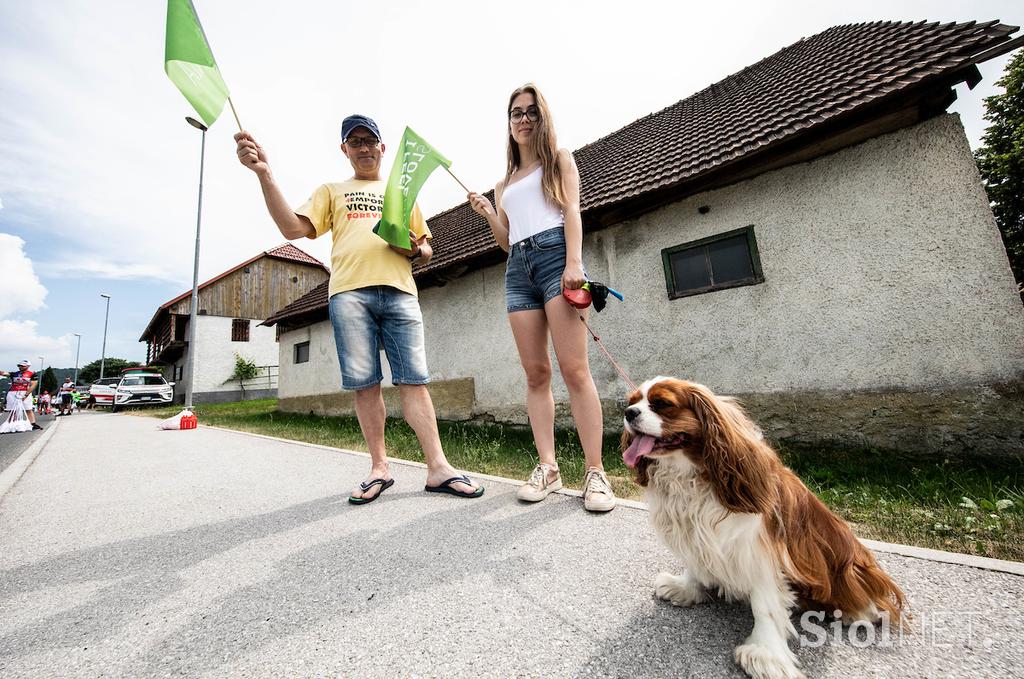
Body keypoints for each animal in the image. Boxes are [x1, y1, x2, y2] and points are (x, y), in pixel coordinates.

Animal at [618, 376, 909, 679]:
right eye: (632, 402)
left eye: (662, 404)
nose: (629, 413)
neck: (691, 474)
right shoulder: (697, 535)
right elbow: (695, 564)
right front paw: (685, 587)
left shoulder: (758, 551)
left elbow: (765, 604)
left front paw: (765, 653)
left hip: (850, 566)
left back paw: (861, 611)